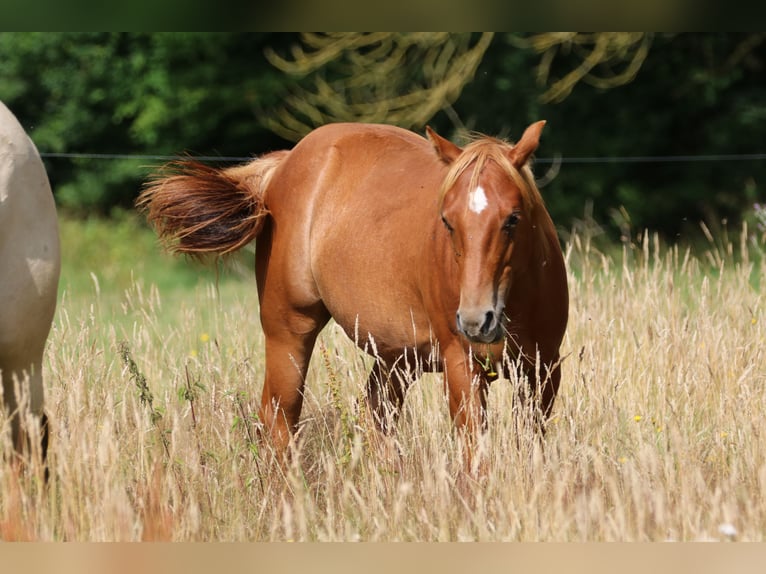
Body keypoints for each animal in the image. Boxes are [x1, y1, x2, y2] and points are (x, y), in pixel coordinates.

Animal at [138, 121, 568, 454]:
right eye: (447, 221)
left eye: (513, 218)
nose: (477, 320)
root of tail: (284, 164)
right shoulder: (463, 369)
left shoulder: (542, 373)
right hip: (289, 333)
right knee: (279, 421)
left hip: (397, 357)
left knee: (377, 414)